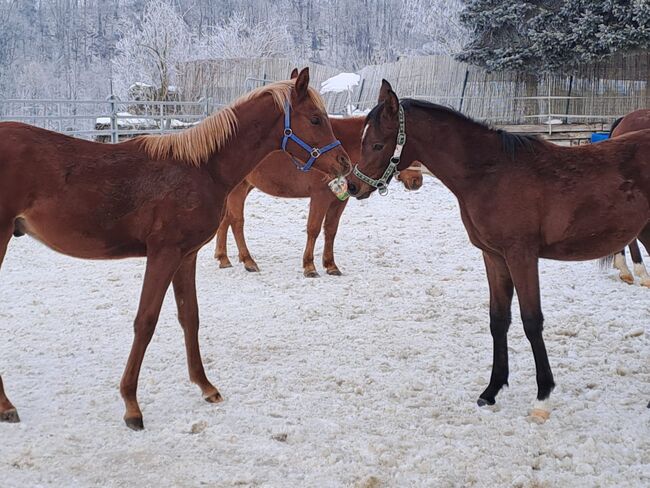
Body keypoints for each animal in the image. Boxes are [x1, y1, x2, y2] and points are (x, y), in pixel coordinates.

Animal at [0, 67, 350, 428]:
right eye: (316, 118)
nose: (344, 162)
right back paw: (7, 405)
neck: (202, 168)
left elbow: (190, 317)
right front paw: (131, 405)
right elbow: (146, 321)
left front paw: (205, 386)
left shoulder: (186, 256)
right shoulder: (163, 254)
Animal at [215, 113, 422, 276]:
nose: (417, 181)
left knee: (225, 220)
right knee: (236, 222)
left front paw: (331, 265)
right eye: (405, 148)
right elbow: (313, 229)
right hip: (238, 189)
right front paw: (309, 266)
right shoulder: (320, 197)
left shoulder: (339, 201)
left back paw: (223, 258)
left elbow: (330, 230)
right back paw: (248, 260)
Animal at [350, 80, 648, 420]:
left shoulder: (521, 256)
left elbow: (531, 321)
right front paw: (491, 390)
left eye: (377, 144)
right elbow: (498, 319)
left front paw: (543, 397)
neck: (490, 173)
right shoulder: (494, 257)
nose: (353, 187)